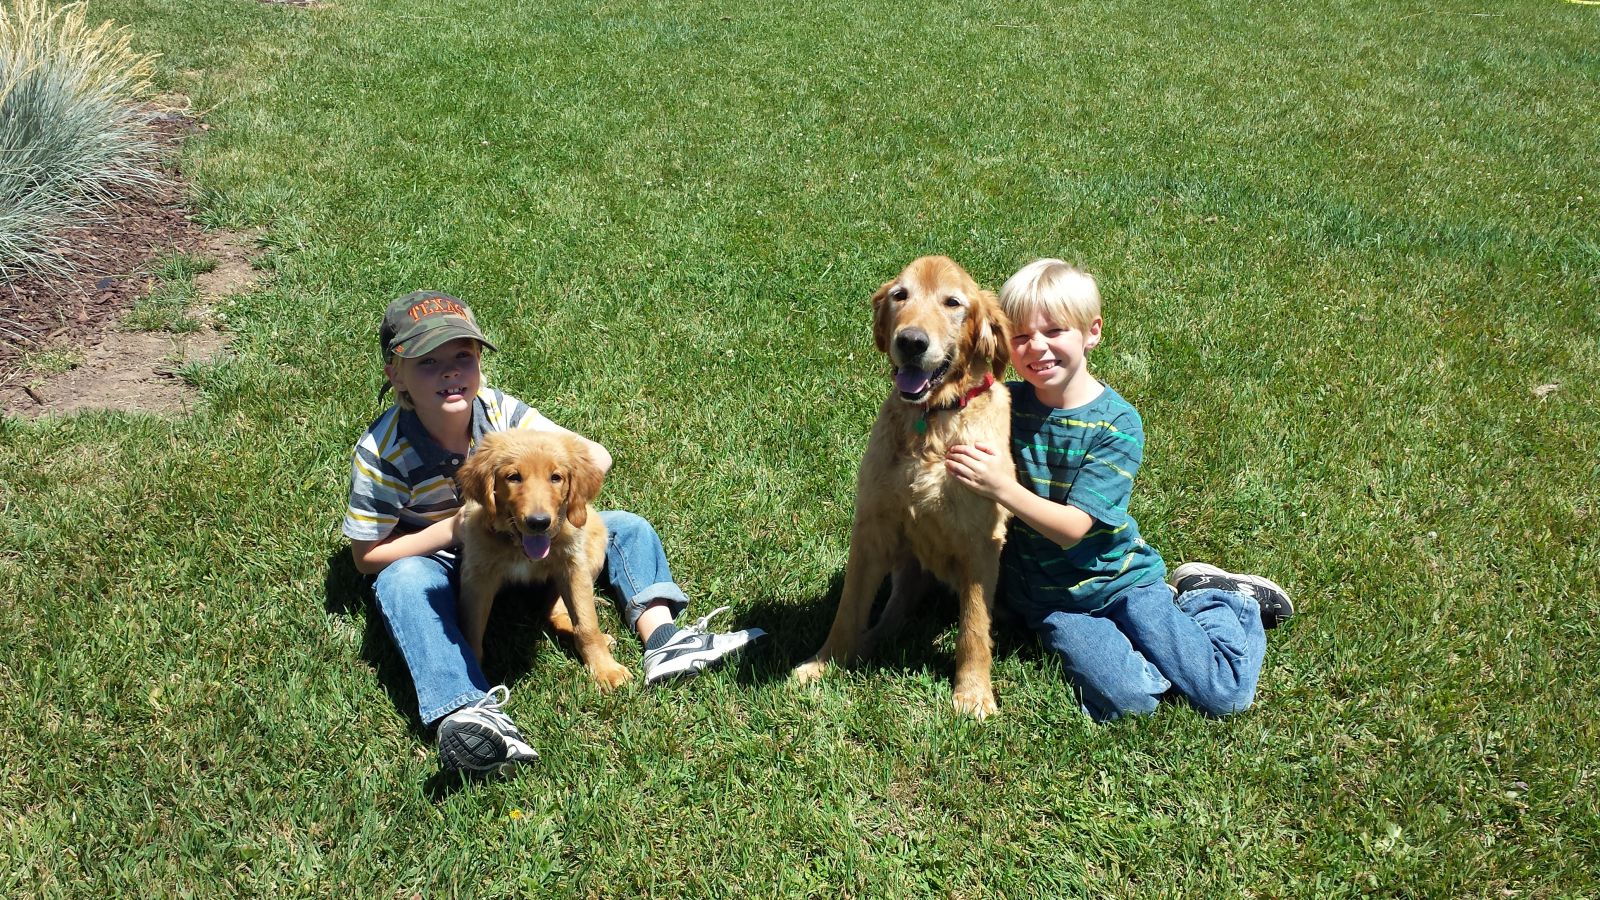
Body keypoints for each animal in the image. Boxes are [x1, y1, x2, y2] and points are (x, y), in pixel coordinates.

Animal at [457, 425, 630, 685]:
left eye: (556, 477)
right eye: (513, 477)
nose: (538, 522)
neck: (519, 548)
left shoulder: (573, 566)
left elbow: (587, 623)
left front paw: (606, 670)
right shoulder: (478, 576)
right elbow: (471, 632)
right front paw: (473, 674)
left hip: (595, 538)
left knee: (557, 610)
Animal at [796, 256, 1011, 717]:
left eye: (953, 302)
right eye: (901, 295)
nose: (911, 342)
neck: (932, 420)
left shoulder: (981, 542)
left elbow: (973, 625)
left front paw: (973, 693)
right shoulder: (872, 528)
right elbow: (848, 607)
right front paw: (825, 661)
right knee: (896, 608)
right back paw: (869, 643)